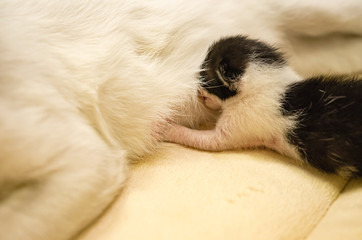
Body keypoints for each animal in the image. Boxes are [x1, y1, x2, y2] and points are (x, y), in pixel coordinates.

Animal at [165, 35, 362, 178]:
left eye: (203, 78)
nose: (197, 91)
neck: (270, 82)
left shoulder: (243, 121)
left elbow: (209, 140)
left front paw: (166, 128)